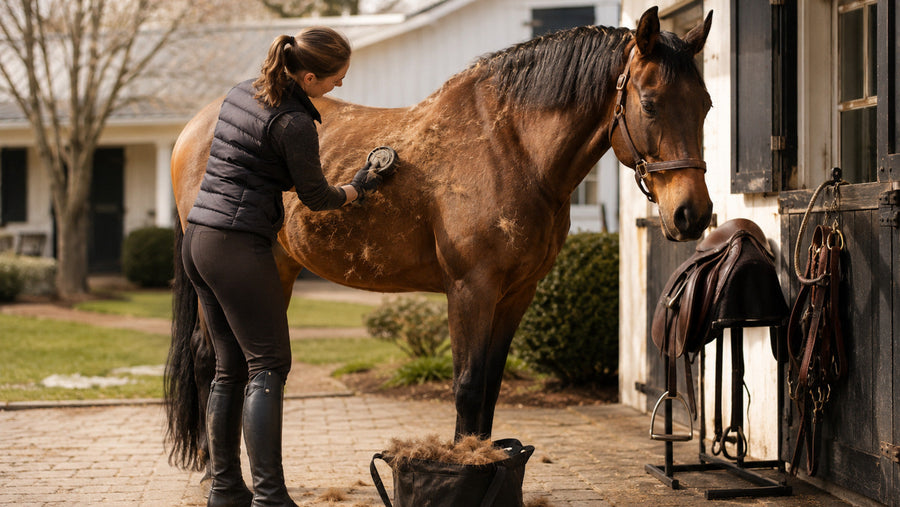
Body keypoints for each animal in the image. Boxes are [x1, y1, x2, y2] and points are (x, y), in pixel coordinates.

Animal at [165, 6, 714, 471]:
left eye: (707, 105)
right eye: (649, 103)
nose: (692, 215)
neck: (510, 150)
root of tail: (193, 127)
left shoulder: (517, 293)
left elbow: (490, 386)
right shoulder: (471, 289)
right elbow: (468, 386)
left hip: (275, 272)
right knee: (212, 361)